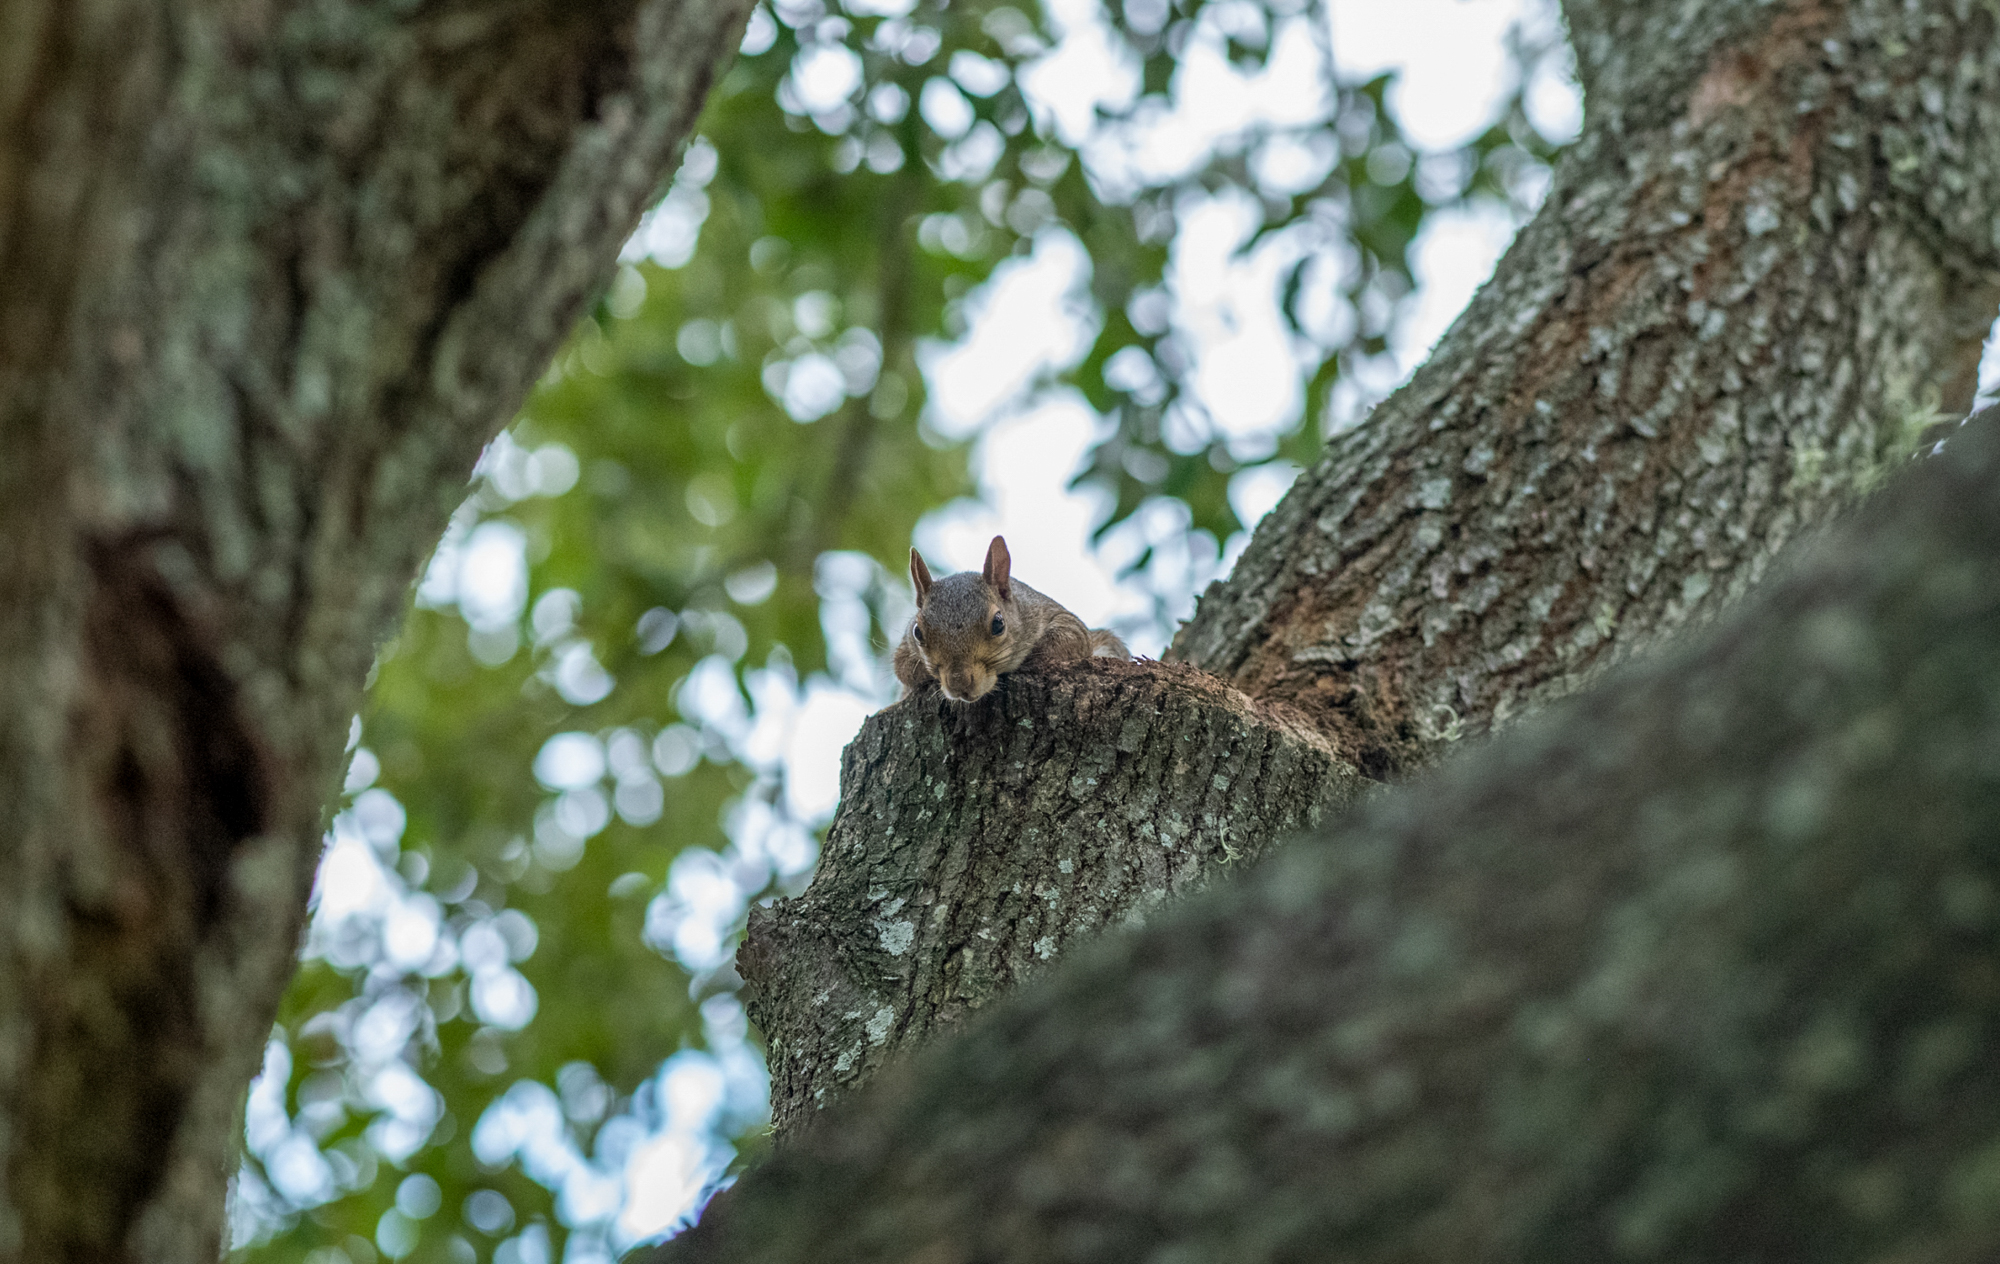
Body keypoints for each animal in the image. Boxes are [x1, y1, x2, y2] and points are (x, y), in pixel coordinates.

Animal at [892, 540, 1128, 708]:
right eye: (917, 632)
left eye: (998, 624)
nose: (959, 682)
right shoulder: (905, 645)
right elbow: (902, 668)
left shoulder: (1055, 615)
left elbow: (1072, 638)